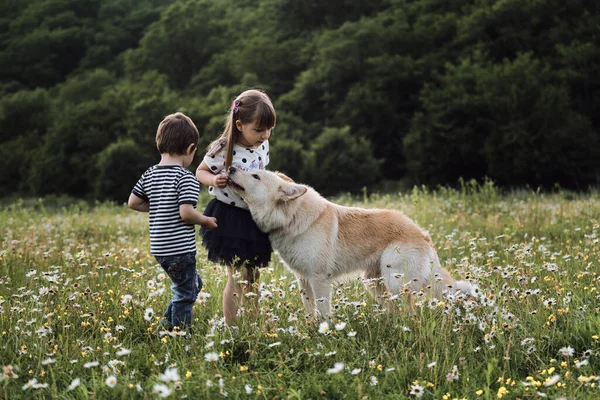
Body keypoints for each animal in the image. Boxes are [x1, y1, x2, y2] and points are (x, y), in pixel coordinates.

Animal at [225, 167, 474, 318]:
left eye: (256, 176)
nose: (230, 168)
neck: (291, 217)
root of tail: (422, 234)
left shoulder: (319, 279)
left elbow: (324, 313)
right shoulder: (303, 280)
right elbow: (310, 313)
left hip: (394, 283)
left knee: (409, 313)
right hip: (375, 284)